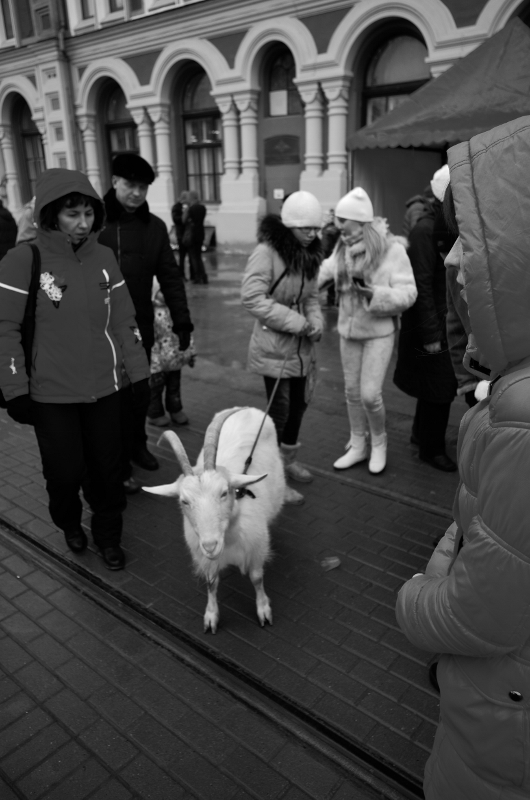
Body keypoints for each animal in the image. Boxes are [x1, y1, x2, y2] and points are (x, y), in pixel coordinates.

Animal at [142, 410, 284, 636]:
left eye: (224, 492)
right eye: (184, 501)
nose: (210, 546)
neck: (230, 537)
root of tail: (246, 408)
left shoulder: (257, 547)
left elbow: (256, 578)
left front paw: (264, 611)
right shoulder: (204, 557)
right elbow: (211, 582)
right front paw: (211, 617)